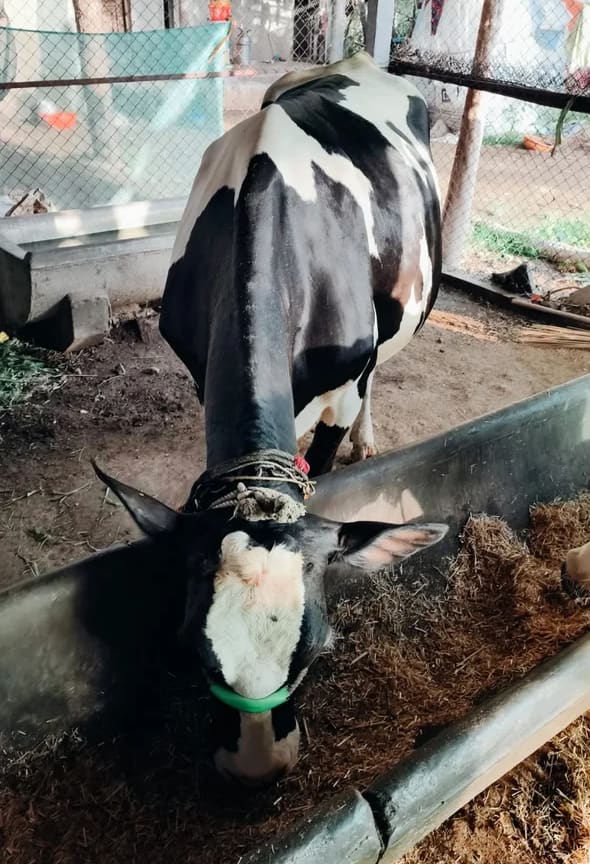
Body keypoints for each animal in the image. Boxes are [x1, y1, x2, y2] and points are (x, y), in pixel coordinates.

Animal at [94, 51, 447, 786]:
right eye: (191, 652)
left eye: (315, 649)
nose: (257, 766)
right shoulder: (202, 370)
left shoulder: (342, 387)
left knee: (379, 373)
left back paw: (371, 437)